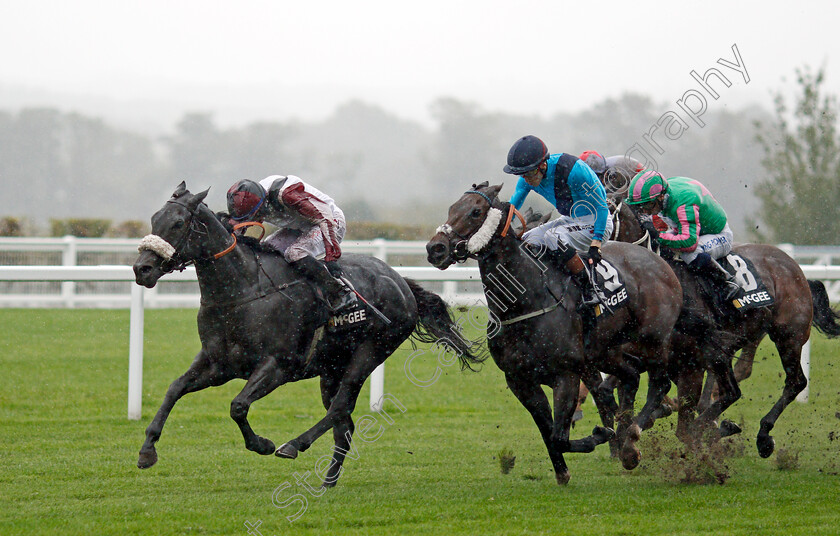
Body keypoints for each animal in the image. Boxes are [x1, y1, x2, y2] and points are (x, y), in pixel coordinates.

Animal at [135, 182, 482, 488]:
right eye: (154, 218)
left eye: (178, 223)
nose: (142, 269)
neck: (243, 290)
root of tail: (400, 282)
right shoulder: (218, 364)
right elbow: (174, 389)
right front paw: (147, 451)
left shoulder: (278, 365)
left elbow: (238, 405)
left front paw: (262, 443)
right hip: (331, 367)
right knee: (343, 421)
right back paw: (328, 481)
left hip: (370, 352)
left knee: (340, 408)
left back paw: (293, 445)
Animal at [426, 182, 684, 484]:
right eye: (452, 208)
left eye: (475, 211)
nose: (435, 248)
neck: (525, 301)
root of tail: (658, 261)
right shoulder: (520, 380)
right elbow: (549, 433)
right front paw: (563, 471)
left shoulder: (566, 374)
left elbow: (560, 435)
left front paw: (599, 435)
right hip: (606, 351)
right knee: (630, 377)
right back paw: (625, 440)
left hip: (653, 339)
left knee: (659, 383)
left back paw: (631, 437)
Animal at [612, 197, 840, 456]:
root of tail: (795, 267)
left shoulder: (691, 360)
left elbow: (686, 422)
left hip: (788, 335)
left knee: (794, 382)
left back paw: (763, 436)